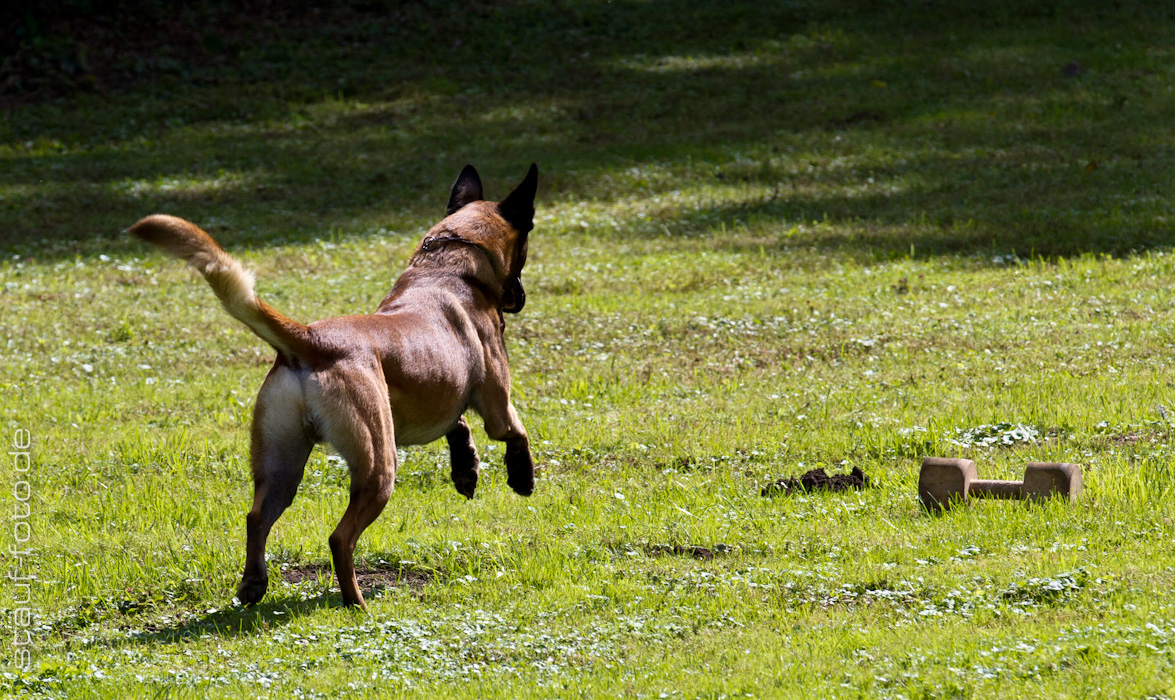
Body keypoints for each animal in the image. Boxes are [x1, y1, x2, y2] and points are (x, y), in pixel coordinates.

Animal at [127, 164, 538, 606]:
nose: (520, 298)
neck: (446, 268)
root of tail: (310, 338)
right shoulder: (497, 402)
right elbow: (514, 431)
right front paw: (522, 476)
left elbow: (457, 425)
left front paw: (466, 468)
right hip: (378, 466)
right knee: (340, 538)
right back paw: (355, 601)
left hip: (281, 463)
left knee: (256, 517)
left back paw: (254, 583)